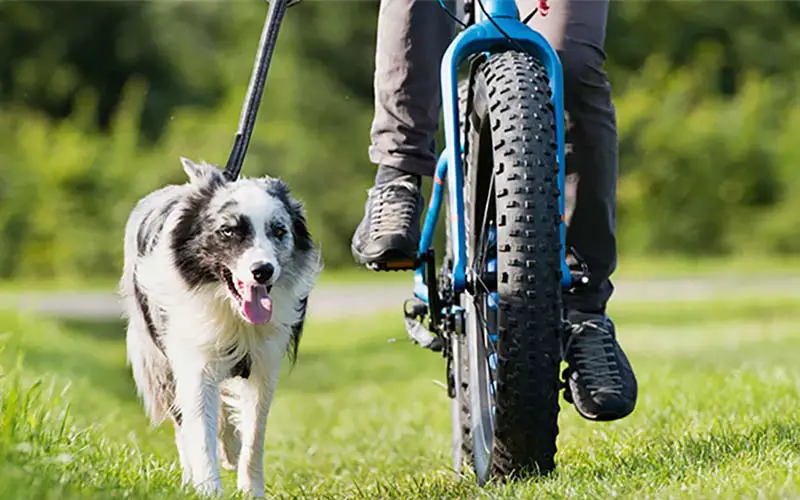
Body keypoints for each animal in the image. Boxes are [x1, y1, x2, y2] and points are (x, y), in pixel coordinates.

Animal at [119, 157, 318, 496]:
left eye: (279, 231)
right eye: (228, 231)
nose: (263, 270)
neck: (232, 312)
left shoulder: (264, 366)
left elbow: (255, 435)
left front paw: (252, 491)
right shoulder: (192, 361)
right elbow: (199, 432)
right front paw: (207, 489)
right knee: (183, 425)